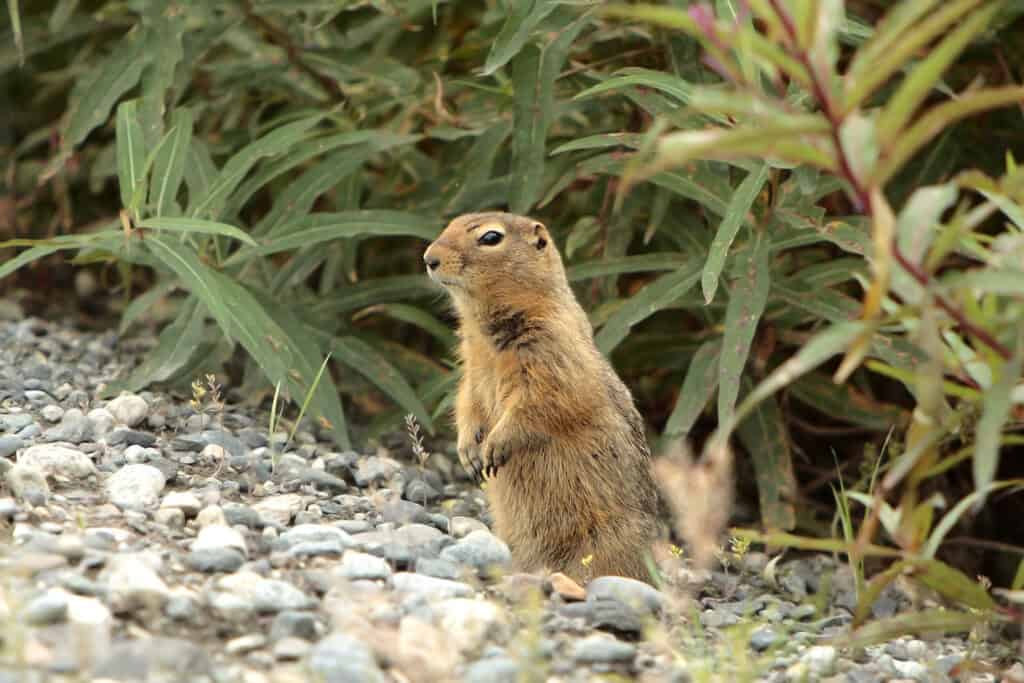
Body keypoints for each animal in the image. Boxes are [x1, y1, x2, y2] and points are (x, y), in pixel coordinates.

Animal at [423, 212, 660, 583]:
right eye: (450, 224)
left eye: (491, 237)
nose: (428, 258)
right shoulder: (471, 368)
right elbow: (466, 402)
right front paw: (468, 454)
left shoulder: (551, 355)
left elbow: (539, 403)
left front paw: (494, 446)